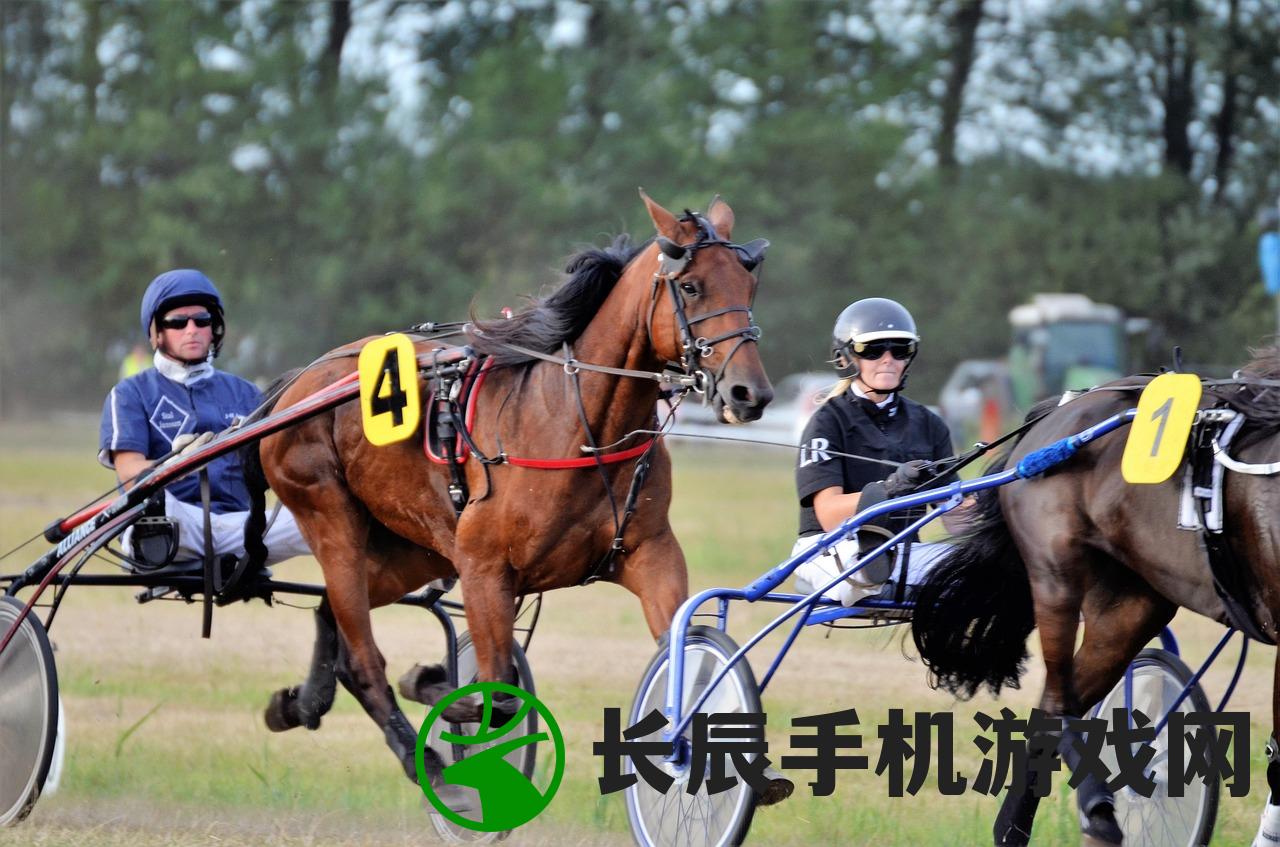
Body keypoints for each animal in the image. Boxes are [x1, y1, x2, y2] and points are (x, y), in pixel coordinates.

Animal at [247, 194, 768, 798]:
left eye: (748, 284)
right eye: (691, 287)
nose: (749, 393)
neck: (576, 426)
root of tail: (300, 383)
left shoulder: (650, 552)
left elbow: (680, 645)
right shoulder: (484, 568)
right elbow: (496, 697)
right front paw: (440, 691)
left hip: (415, 547)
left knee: (334, 610)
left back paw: (301, 703)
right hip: (331, 516)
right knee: (363, 654)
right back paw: (423, 760)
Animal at [911, 348, 1280, 844]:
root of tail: (1058, 413)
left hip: (1131, 604)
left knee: (1053, 707)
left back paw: (1019, 828)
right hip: (1056, 577)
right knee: (1058, 703)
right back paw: (1095, 808)